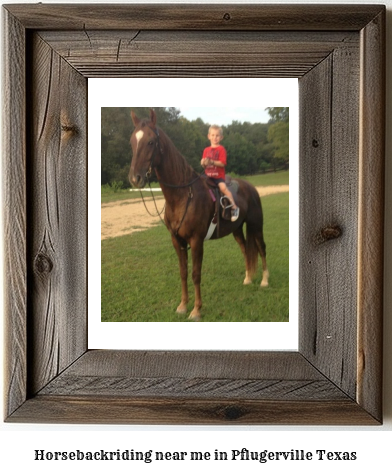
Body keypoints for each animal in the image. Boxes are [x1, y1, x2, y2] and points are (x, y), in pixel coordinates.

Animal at [129, 109, 270, 320]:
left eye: (151, 142)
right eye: (132, 141)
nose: (135, 178)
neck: (183, 196)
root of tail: (250, 187)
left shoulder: (196, 240)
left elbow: (196, 274)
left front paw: (196, 310)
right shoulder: (177, 241)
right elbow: (183, 272)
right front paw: (182, 306)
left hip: (256, 224)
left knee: (261, 248)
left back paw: (264, 281)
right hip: (237, 229)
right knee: (246, 249)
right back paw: (247, 278)